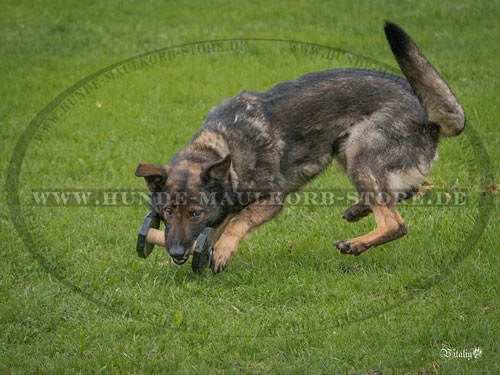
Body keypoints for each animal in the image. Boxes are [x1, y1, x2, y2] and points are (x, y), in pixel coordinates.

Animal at [134, 22, 464, 274]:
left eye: (195, 213)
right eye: (168, 211)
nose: (177, 252)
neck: (221, 147)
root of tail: (428, 114)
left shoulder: (272, 199)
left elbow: (238, 221)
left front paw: (223, 250)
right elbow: (219, 226)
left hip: (359, 150)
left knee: (396, 222)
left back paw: (355, 243)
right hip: (344, 148)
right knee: (404, 190)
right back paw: (360, 209)